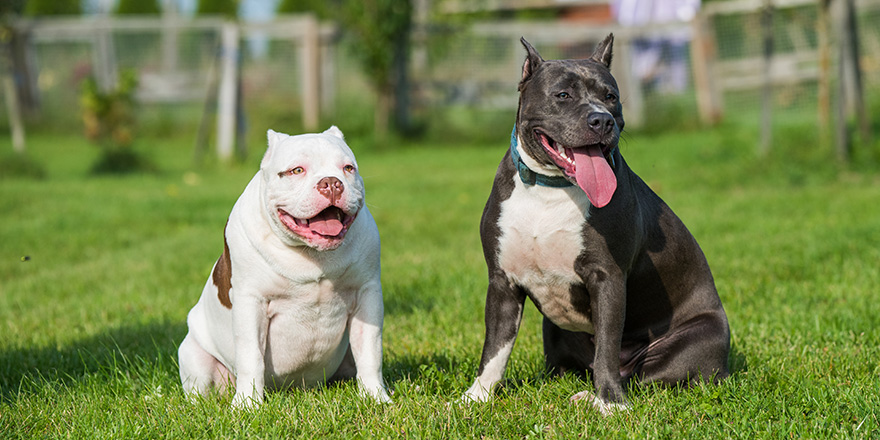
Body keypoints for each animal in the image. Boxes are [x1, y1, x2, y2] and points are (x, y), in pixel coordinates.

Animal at [177, 127, 390, 410]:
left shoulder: (367, 295)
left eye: (348, 168)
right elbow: (251, 355)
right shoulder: (251, 302)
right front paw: (246, 405)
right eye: (296, 170)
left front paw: (376, 398)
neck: (311, 254)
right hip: (193, 354)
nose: (331, 183)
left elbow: (370, 351)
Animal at [460, 33, 728, 412]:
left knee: (638, 375)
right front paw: (476, 396)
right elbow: (495, 347)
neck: (549, 189)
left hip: (693, 341)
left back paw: (593, 394)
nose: (602, 120)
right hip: (554, 333)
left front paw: (611, 404)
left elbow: (607, 348)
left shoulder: (607, 278)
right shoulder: (502, 282)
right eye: (562, 95)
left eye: (610, 96)